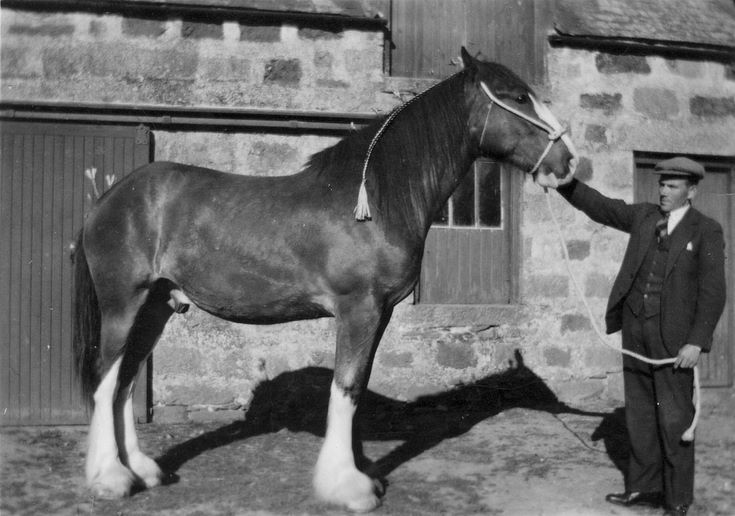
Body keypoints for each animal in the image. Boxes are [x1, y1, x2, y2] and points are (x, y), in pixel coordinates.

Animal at [75, 49, 576, 512]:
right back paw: (110, 478)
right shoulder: (359, 309)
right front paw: (347, 486)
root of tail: (108, 197)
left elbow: (358, 385)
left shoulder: (379, 313)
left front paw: (361, 471)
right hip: (123, 304)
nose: (569, 163)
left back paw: (141, 470)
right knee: (106, 378)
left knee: (124, 383)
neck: (375, 199)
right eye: (516, 97)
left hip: (155, 308)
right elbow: (347, 387)